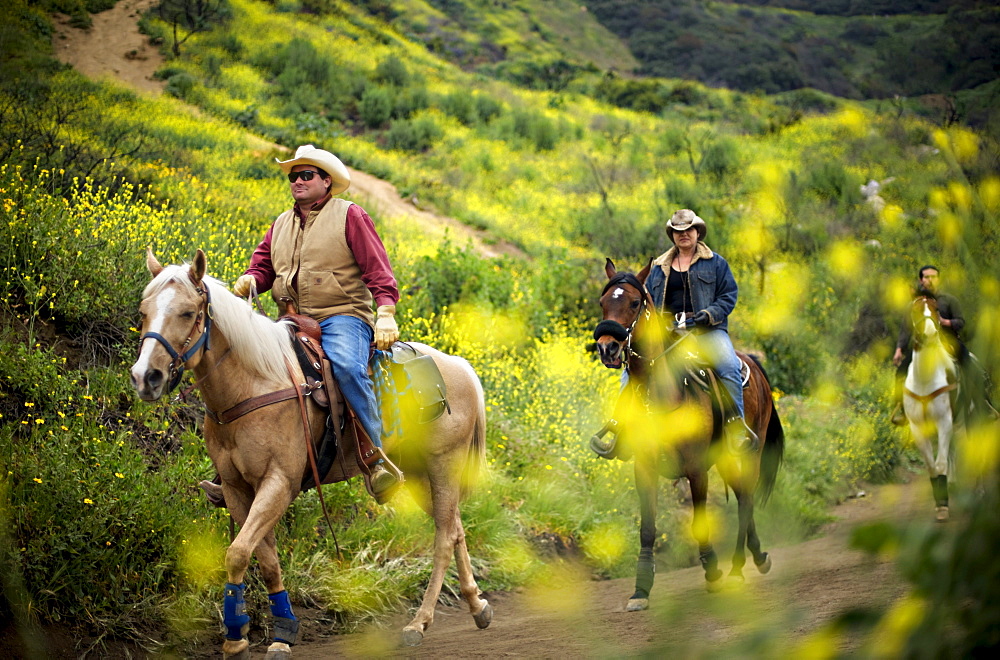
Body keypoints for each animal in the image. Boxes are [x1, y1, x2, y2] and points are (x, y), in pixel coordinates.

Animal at [131, 250, 490, 656]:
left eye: (188, 312)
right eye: (143, 311)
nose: (146, 377)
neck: (255, 383)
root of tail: (461, 368)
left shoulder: (278, 483)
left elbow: (238, 552)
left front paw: (245, 636)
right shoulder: (238, 490)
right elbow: (264, 559)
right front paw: (269, 632)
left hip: (443, 466)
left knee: (444, 537)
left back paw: (419, 623)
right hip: (418, 476)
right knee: (456, 528)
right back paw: (477, 605)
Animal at [592, 260, 780, 612]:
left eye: (634, 303)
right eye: (603, 302)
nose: (608, 347)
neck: (663, 392)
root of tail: (753, 362)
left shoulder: (695, 468)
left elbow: (699, 522)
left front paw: (712, 570)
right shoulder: (644, 467)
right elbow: (648, 528)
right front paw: (640, 590)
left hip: (748, 452)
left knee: (746, 499)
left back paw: (737, 568)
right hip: (724, 461)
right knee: (742, 498)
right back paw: (757, 556)